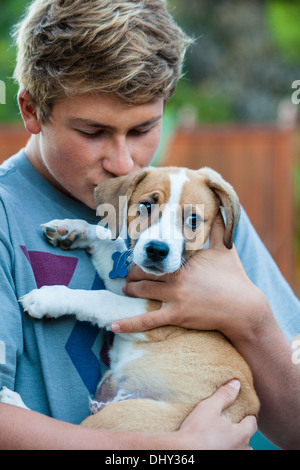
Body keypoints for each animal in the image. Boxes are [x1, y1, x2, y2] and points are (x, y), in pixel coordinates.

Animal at [7, 167, 260, 432]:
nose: (157, 250)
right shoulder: (127, 282)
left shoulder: (155, 311)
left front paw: (48, 297)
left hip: (123, 419)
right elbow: (108, 239)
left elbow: (99, 298)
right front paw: (72, 229)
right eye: (147, 206)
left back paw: (12, 401)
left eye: (193, 220)